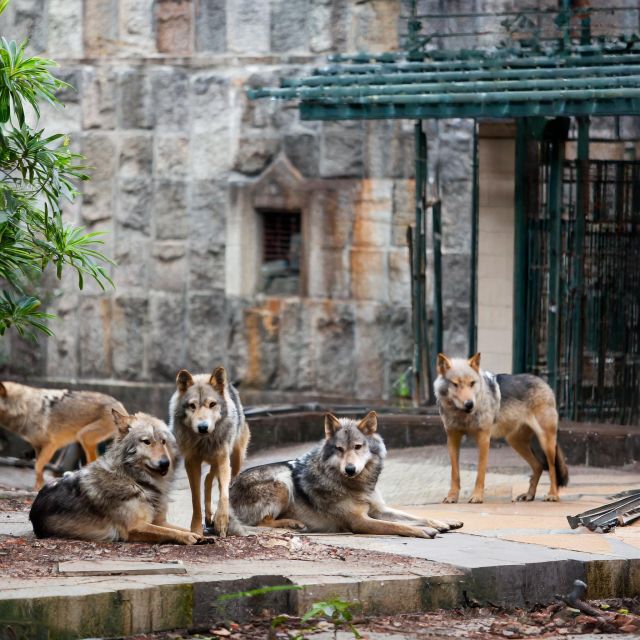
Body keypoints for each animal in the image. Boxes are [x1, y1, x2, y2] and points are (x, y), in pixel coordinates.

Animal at [170, 368, 250, 536]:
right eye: (192, 406)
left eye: (212, 404)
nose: (202, 427)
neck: (204, 441)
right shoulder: (191, 463)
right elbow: (195, 499)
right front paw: (196, 529)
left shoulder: (223, 460)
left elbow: (224, 493)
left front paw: (221, 521)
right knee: (208, 479)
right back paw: (207, 517)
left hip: (235, 461)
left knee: (218, 482)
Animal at [432, 352, 568, 502]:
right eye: (455, 384)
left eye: (472, 383)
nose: (469, 404)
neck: (461, 414)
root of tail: (544, 382)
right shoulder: (452, 439)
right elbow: (454, 473)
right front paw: (452, 497)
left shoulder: (484, 438)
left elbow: (480, 472)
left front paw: (477, 497)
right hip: (515, 442)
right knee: (538, 466)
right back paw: (529, 495)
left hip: (546, 442)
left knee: (551, 467)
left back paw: (552, 495)